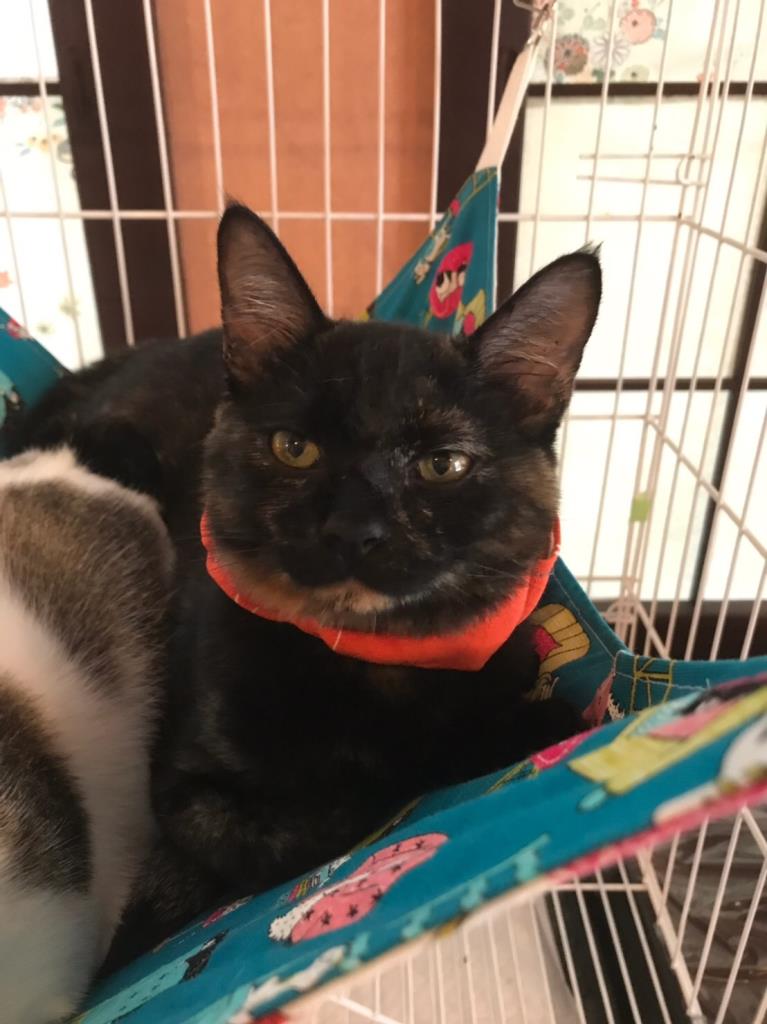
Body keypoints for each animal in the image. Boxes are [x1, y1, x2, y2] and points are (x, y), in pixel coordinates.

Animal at [17, 205, 601, 955]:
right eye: (294, 448)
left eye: (442, 465)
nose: (353, 530)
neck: (371, 659)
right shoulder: (186, 793)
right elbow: (321, 812)